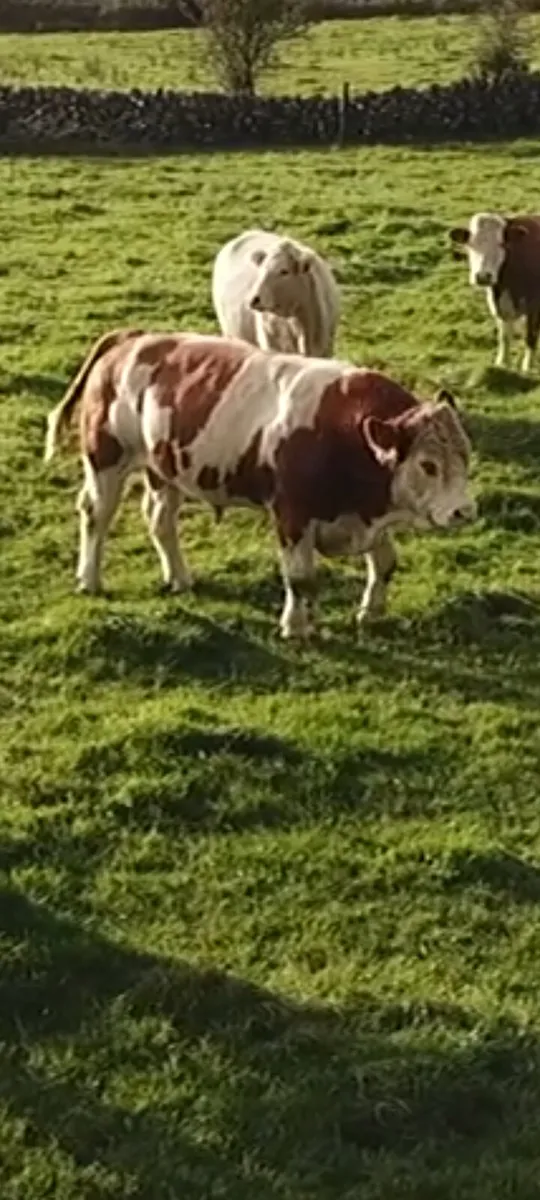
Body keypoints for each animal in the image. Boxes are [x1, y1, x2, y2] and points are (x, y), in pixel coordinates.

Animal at [44, 328, 476, 640]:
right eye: (428, 465)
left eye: (466, 456)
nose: (464, 511)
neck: (344, 434)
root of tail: (131, 338)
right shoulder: (291, 515)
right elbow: (300, 578)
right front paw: (296, 627)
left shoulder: (366, 516)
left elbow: (385, 563)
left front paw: (370, 612)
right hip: (106, 460)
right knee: (96, 515)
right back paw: (89, 579)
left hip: (164, 469)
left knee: (160, 520)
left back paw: (179, 578)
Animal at [449, 212, 540, 374]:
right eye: (471, 244)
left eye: (501, 244)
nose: (483, 276)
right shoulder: (500, 306)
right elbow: (504, 337)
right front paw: (502, 364)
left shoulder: (534, 306)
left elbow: (530, 336)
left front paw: (527, 368)